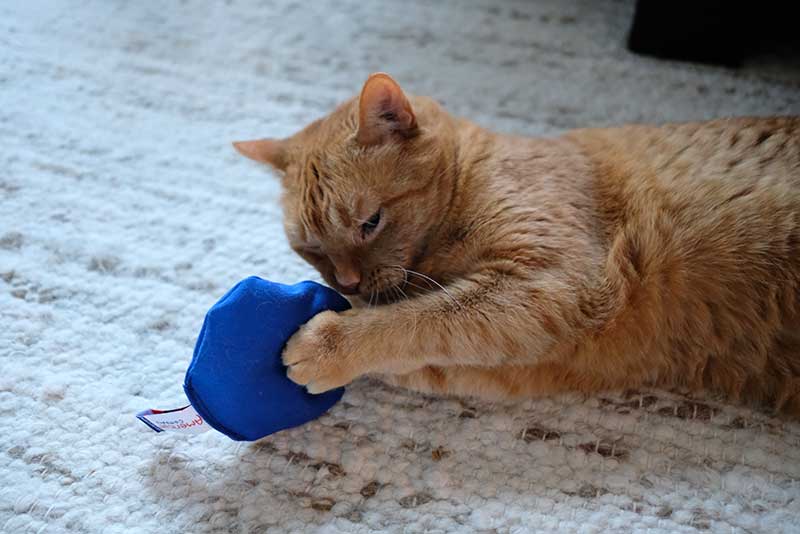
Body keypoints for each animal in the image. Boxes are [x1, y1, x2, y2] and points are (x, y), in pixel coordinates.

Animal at [234, 73, 800, 416]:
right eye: (311, 249)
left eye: (370, 223)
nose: (346, 280)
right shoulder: (518, 352)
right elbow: (417, 342)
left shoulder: (552, 283)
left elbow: (411, 320)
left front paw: (327, 340)